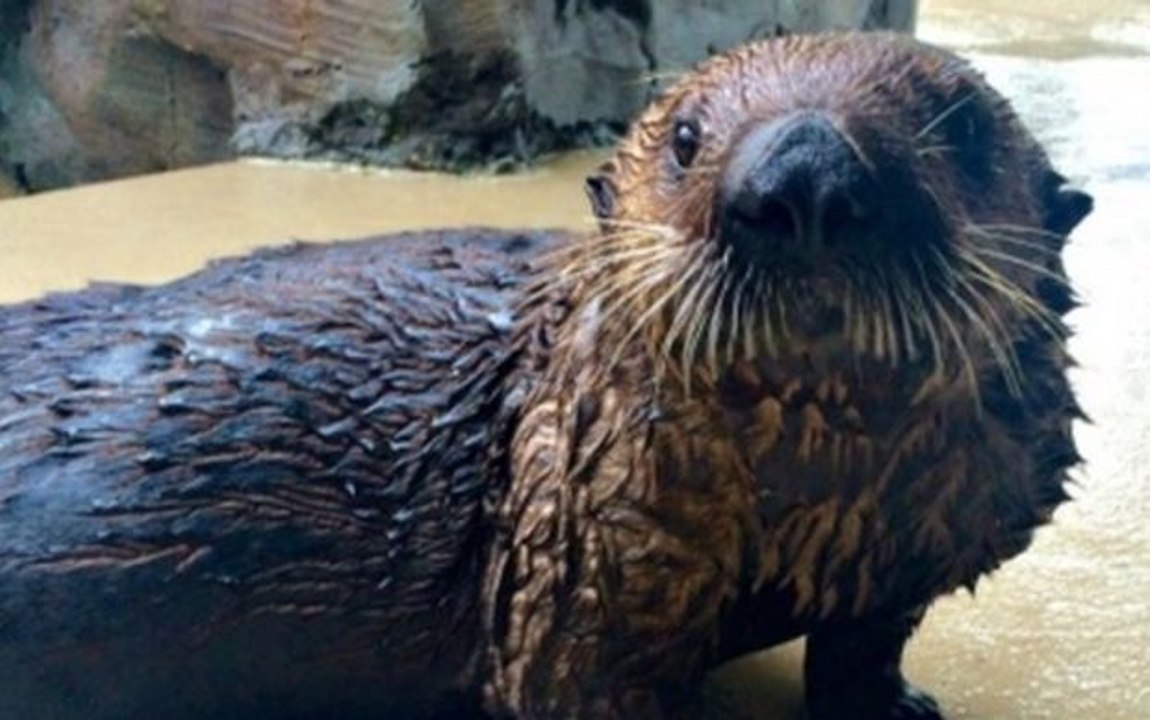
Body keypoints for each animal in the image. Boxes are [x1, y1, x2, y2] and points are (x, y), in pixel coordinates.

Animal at [0, 33, 1091, 720]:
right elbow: (572, 682)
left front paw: (900, 705)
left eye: (958, 128)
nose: (803, 176)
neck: (819, 509)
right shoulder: (581, 549)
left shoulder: (919, 540)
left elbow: (866, 640)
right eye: (686, 138)